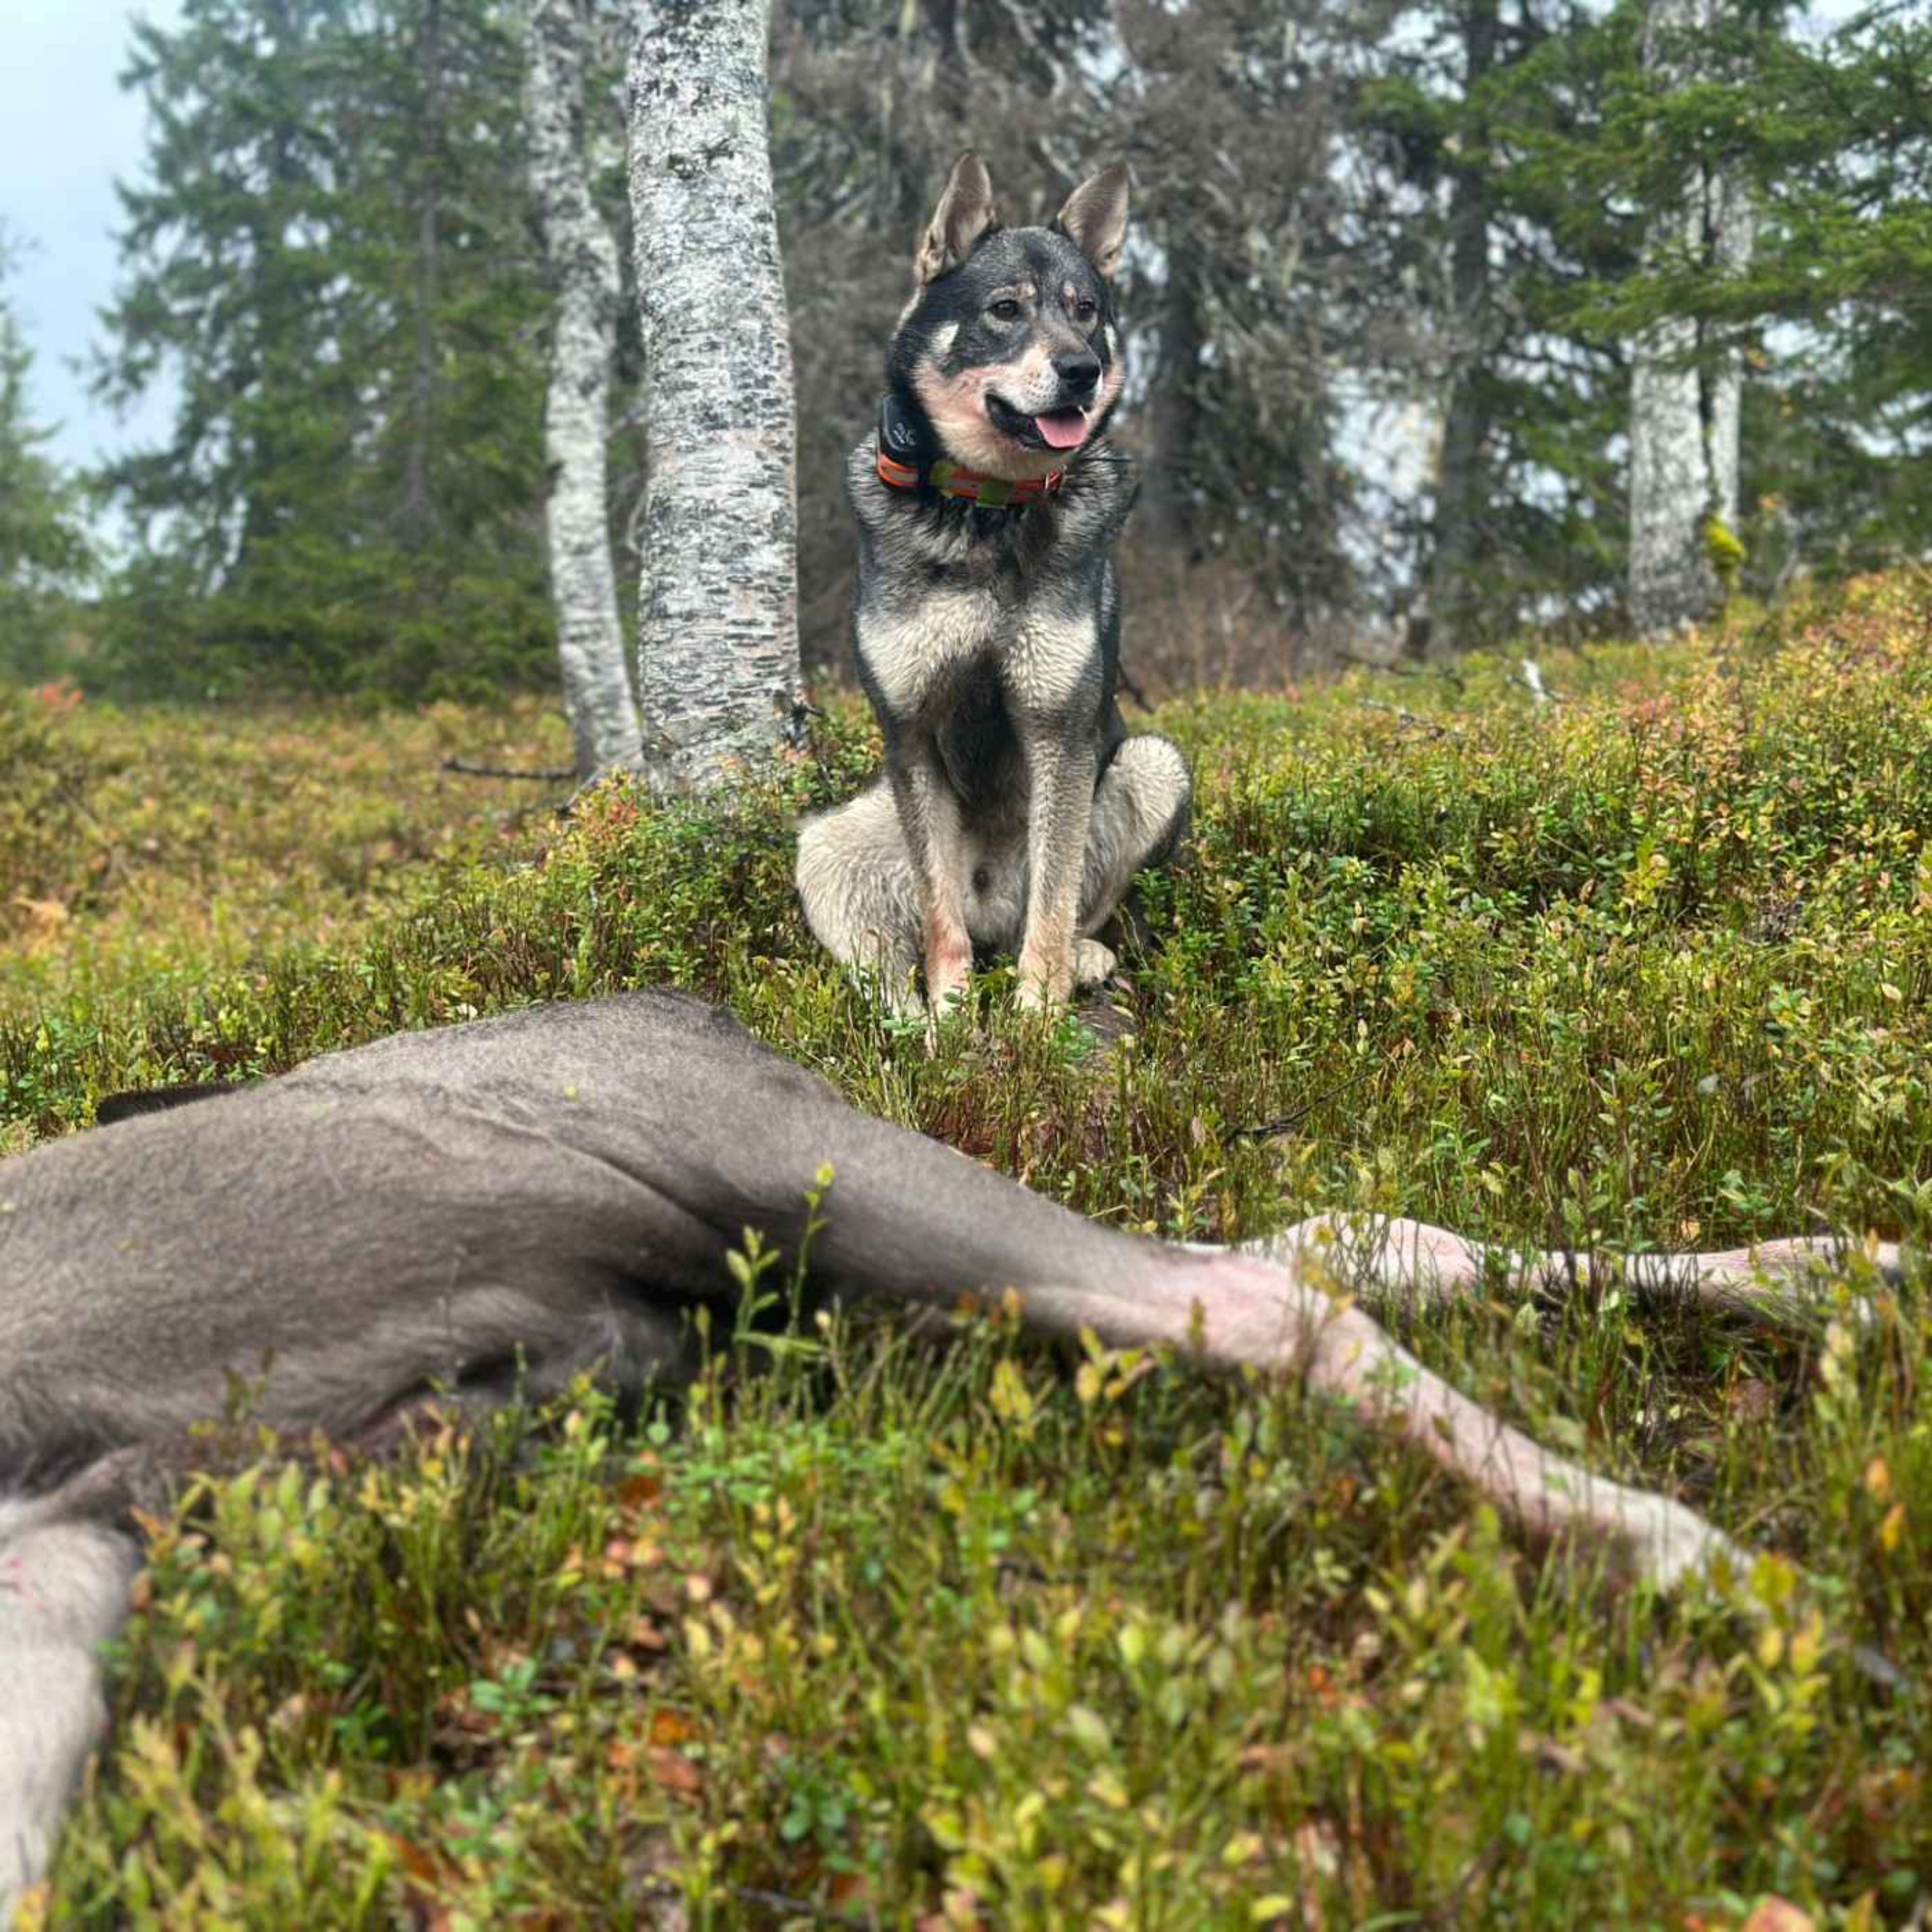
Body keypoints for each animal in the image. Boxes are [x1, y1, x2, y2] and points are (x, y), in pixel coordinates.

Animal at [792, 155, 1182, 1012]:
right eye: (1006, 310)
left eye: (1085, 312)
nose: (1083, 370)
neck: (987, 509)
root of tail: (990, 906)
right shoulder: (912, 729)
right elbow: (940, 919)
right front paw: (952, 1011)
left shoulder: (1058, 730)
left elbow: (1055, 899)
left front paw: (1035, 1014)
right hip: (826, 844)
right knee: (892, 959)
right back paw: (914, 1019)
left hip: (1154, 763)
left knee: (1070, 911)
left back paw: (1082, 961)